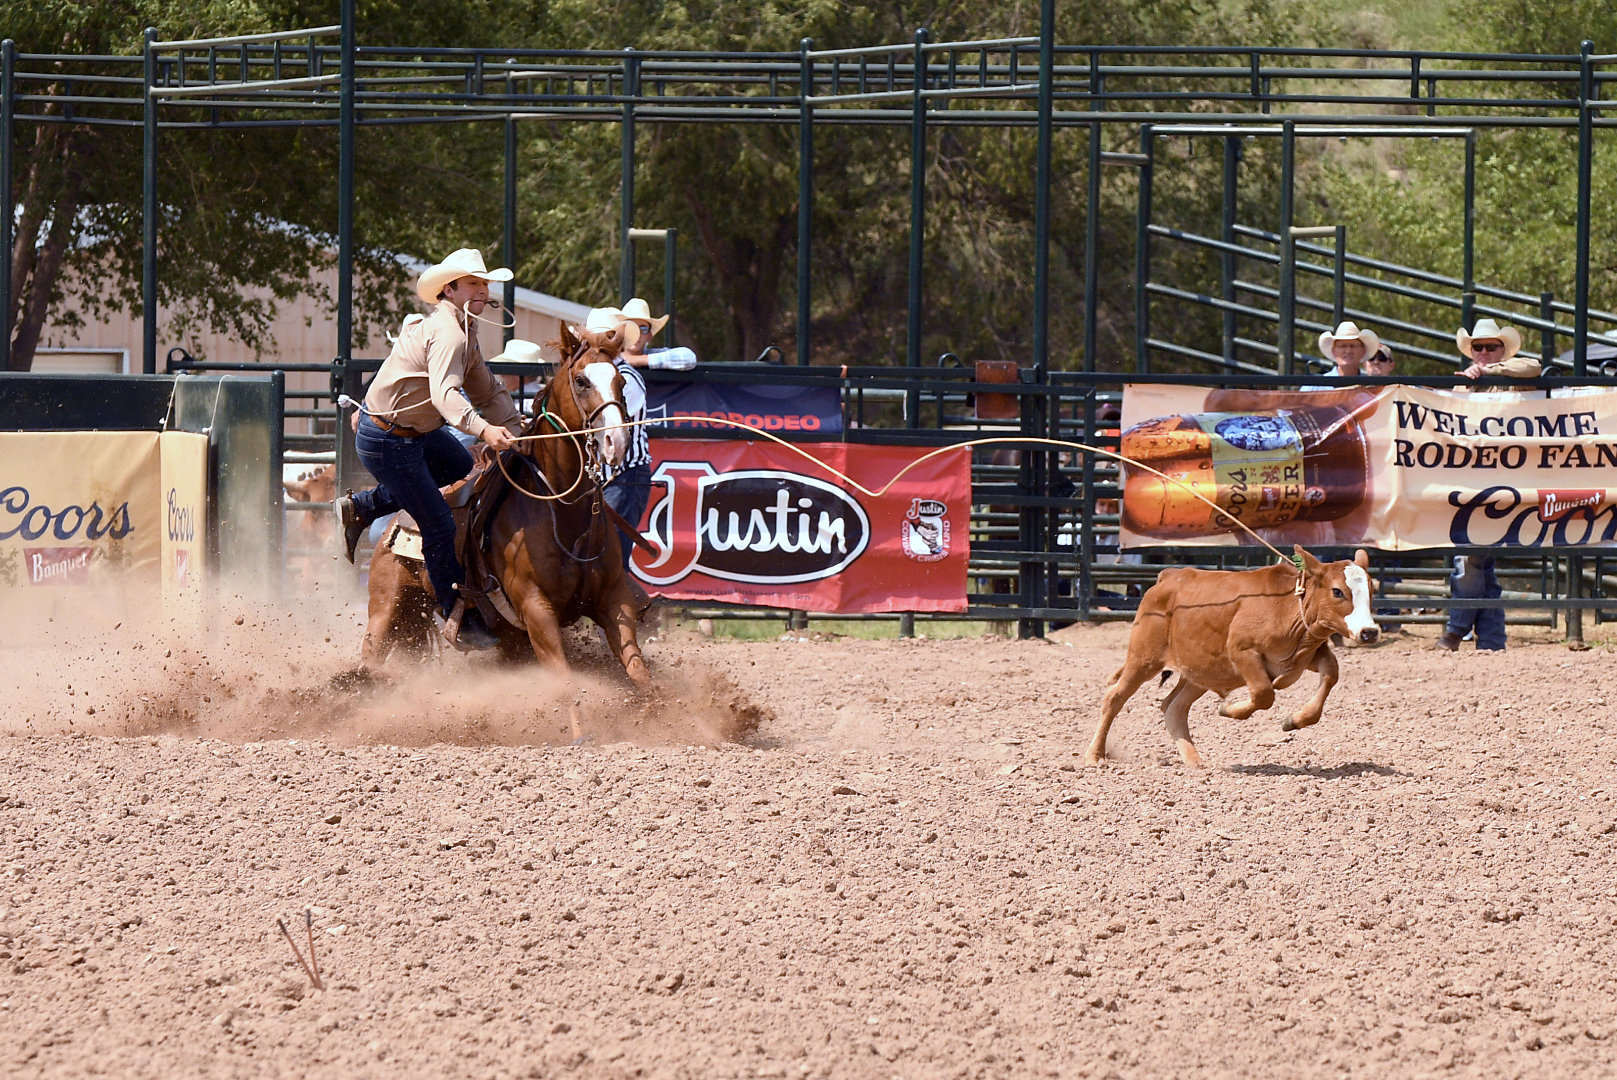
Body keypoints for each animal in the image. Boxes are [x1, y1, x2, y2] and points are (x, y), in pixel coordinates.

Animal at [360, 324, 650, 688]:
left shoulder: (614, 600)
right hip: (387, 610)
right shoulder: (536, 609)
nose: (617, 441)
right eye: (581, 380)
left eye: (621, 382)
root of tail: (394, 525)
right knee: (369, 656)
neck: (564, 513)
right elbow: (564, 678)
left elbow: (639, 673)